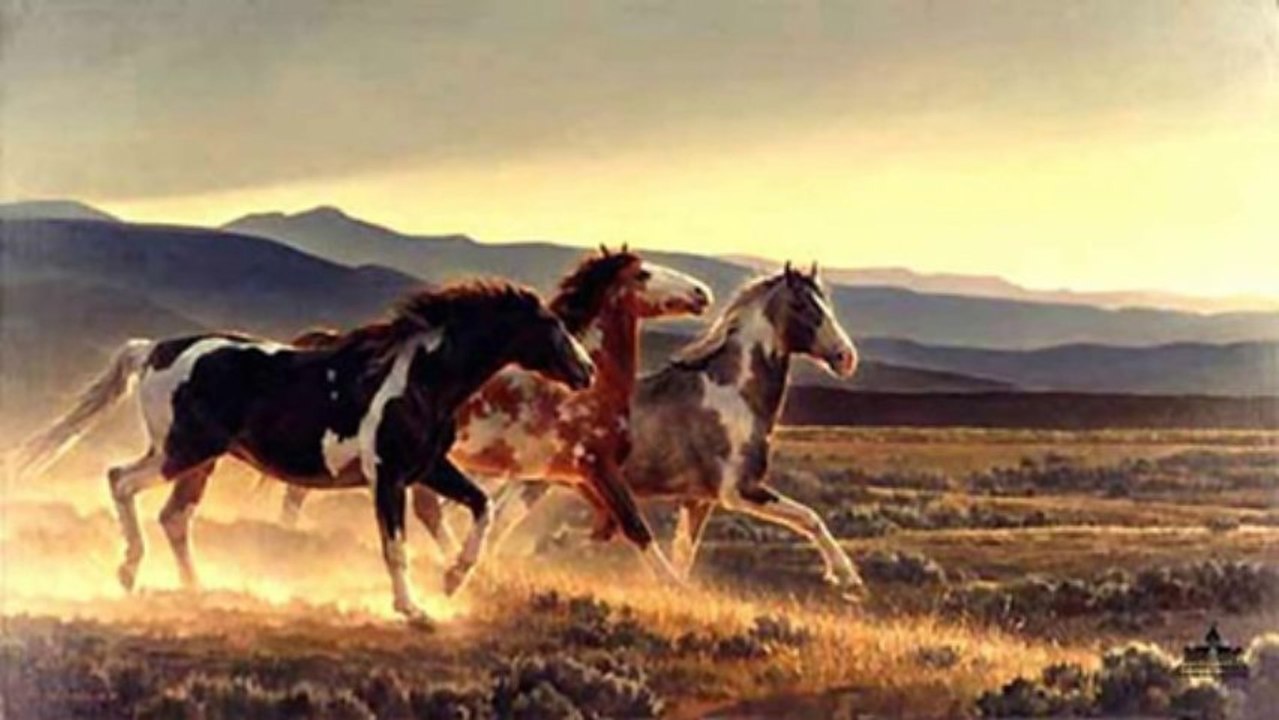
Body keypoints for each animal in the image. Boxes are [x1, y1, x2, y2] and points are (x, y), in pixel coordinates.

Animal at [14, 281, 596, 624]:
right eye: (553, 326)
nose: (587, 371)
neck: (421, 379)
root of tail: (156, 349)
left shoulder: (429, 468)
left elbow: (483, 506)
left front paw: (453, 580)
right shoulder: (389, 477)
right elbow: (396, 546)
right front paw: (413, 609)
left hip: (200, 460)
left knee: (175, 515)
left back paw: (196, 587)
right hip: (180, 450)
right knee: (120, 479)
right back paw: (129, 572)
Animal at [274, 247, 713, 589]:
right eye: (643, 274)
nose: (701, 292)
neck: (590, 384)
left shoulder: (559, 474)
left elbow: (590, 523)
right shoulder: (593, 464)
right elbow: (633, 524)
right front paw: (677, 587)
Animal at [485, 263, 867, 595]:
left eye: (826, 302)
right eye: (803, 304)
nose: (846, 357)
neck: (733, 396)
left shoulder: (698, 500)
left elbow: (684, 554)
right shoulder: (738, 490)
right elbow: (809, 517)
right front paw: (848, 578)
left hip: (535, 481)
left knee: (499, 520)